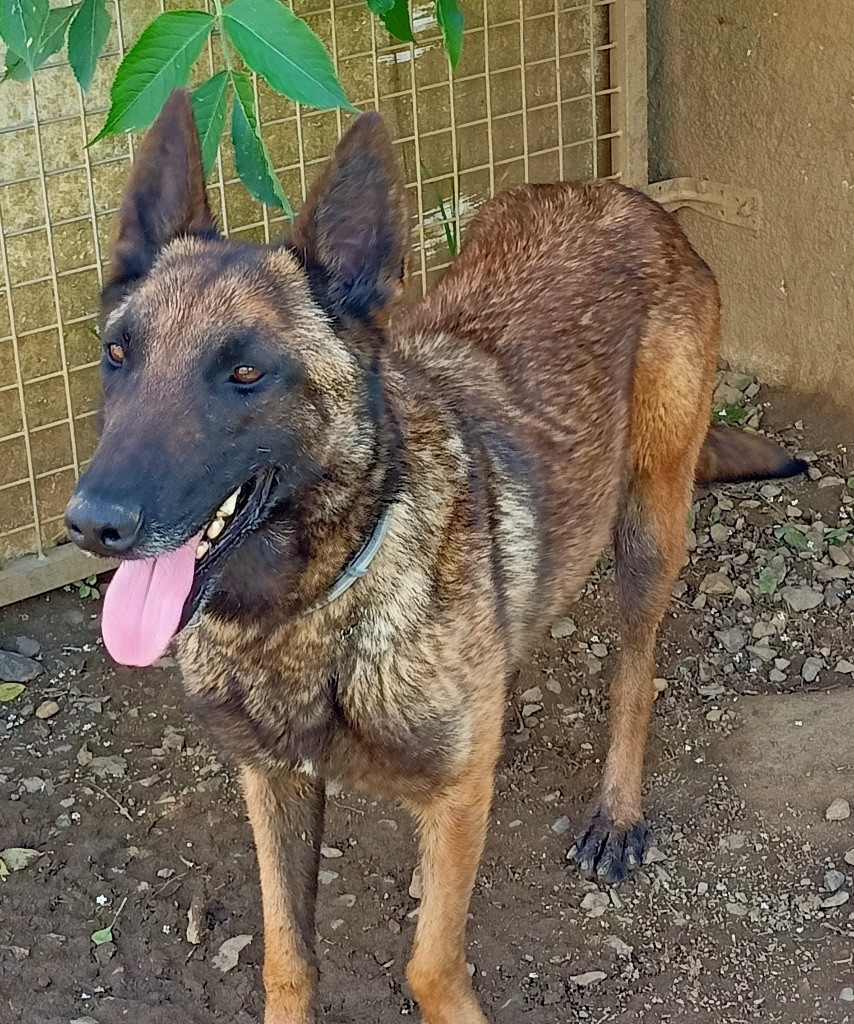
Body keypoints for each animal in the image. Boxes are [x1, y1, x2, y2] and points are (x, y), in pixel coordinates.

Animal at [65, 90, 805, 1023]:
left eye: (245, 374)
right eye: (116, 354)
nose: (90, 524)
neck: (307, 617)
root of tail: (627, 195)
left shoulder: (451, 806)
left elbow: (427, 964)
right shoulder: (272, 783)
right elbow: (286, 958)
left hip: (650, 520)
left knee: (636, 671)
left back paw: (617, 809)